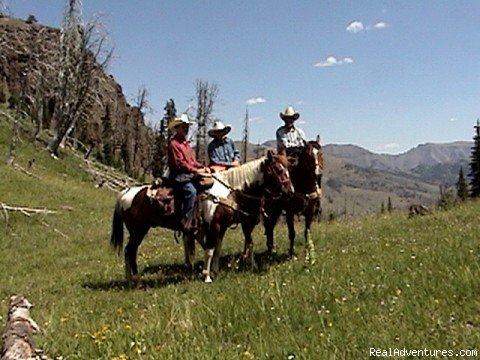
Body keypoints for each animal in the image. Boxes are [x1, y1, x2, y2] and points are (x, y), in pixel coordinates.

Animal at [110, 150, 292, 282]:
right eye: (278, 170)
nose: (290, 192)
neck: (230, 192)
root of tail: (125, 193)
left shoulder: (223, 226)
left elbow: (218, 248)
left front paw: (216, 271)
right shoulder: (215, 225)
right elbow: (211, 249)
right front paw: (207, 275)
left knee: (130, 251)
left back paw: (132, 278)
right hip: (138, 230)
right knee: (130, 250)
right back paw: (134, 278)